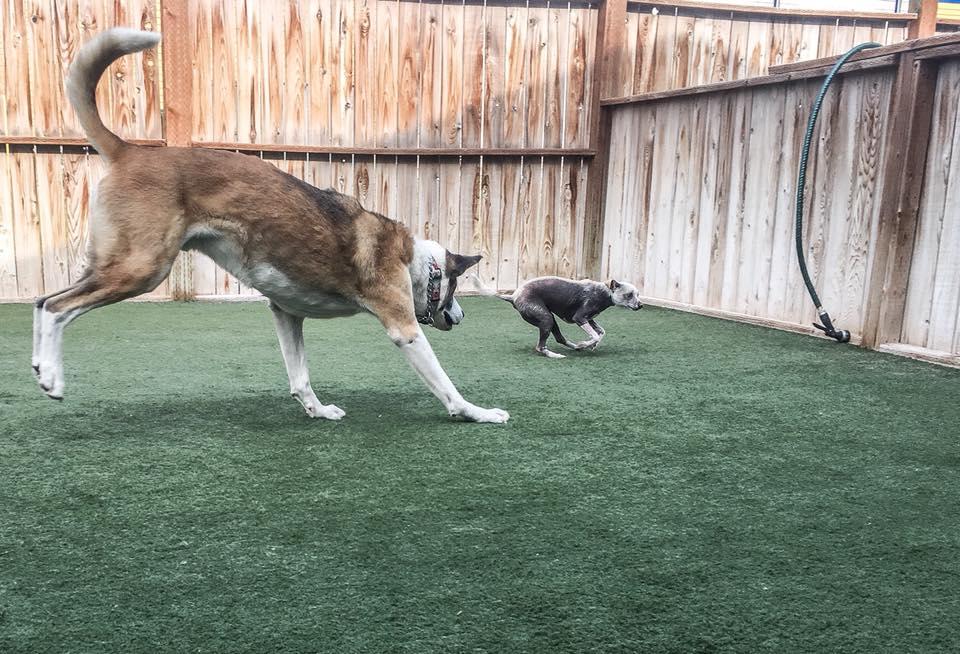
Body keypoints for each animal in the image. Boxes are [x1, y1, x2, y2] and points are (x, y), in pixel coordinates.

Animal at [30, 29, 510, 426]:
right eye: (454, 289)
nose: (462, 316)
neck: (414, 262)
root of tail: (129, 151)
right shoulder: (403, 328)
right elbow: (446, 384)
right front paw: (477, 413)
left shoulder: (286, 313)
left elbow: (300, 377)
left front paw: (318, 411)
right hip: (141, 268)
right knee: (56, 306)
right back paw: (52, 376)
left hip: (118, 264)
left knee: (42, 300)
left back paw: (40, 365)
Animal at [498, 276, 640, 358]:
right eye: (629, 295)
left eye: (638, 294)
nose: (640, 305)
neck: (605, 293)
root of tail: (513, 296)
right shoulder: (579, 318)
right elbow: (595, 335)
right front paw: (587, 343)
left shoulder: (589, 319)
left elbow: (601, 332)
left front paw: (590, 345)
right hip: (546, 319)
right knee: (540, 347)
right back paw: (555, 355)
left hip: (551, 320)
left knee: (560, 339)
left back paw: (576, 347)